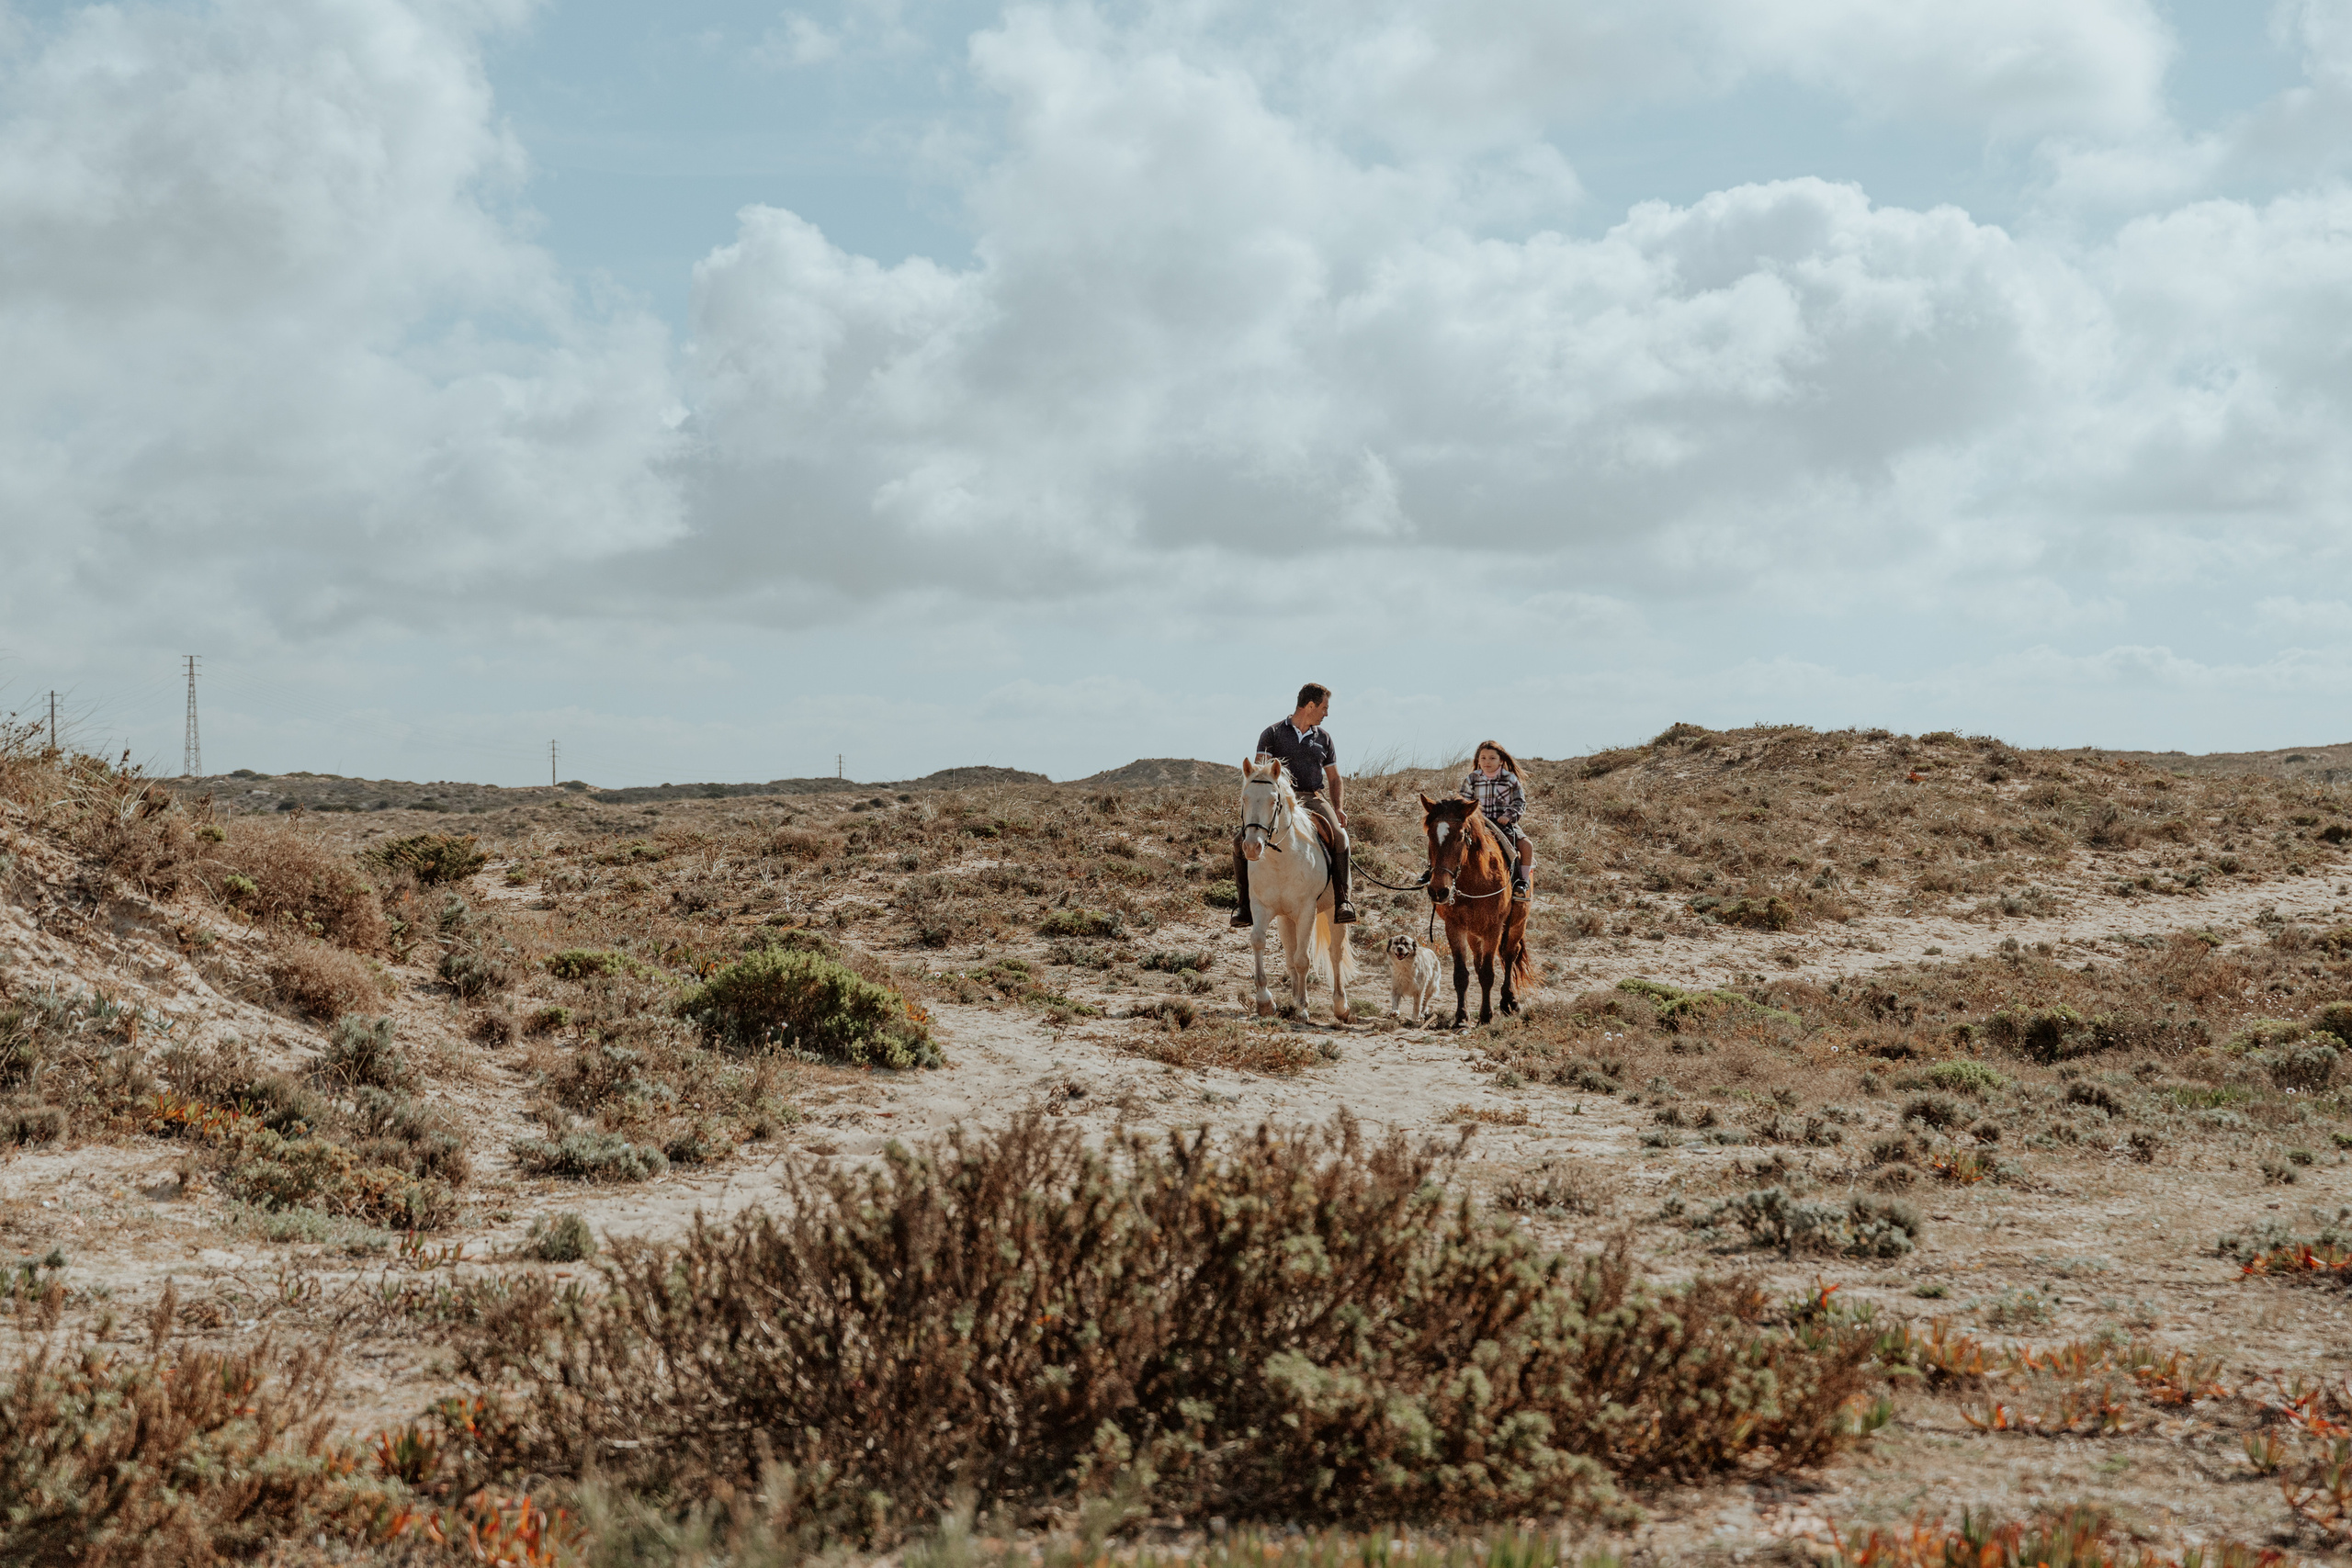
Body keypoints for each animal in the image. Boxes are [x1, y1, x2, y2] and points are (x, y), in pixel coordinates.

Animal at [1236, 757, 1354, 1022]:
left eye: (1274, 800)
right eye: (1244, 798)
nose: (1252, 847)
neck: (1280, 860)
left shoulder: (1306, 911)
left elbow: (1303, 960)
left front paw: (1301, 1007)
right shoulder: (1261, 907)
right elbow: (1258, 941)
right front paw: (1265, 1002)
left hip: (1331, 912)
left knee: (1335, 954)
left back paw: (1340, 1006)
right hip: (1285, 919)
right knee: (1290, 957)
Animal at [1419, 793, 1532, 1027]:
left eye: (1461, 836)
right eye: (1430, 834)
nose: (1439, 891)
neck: (1476, 880)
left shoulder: (1493, 928)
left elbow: (1488, 974)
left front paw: (1486, 1015)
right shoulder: (1455, 928)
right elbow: (1462, 974)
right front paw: (1461, 1017)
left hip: (1517, 924)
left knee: (1510, 955)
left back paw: (1510, 1001)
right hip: (1474, 934)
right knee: (1480, 963)